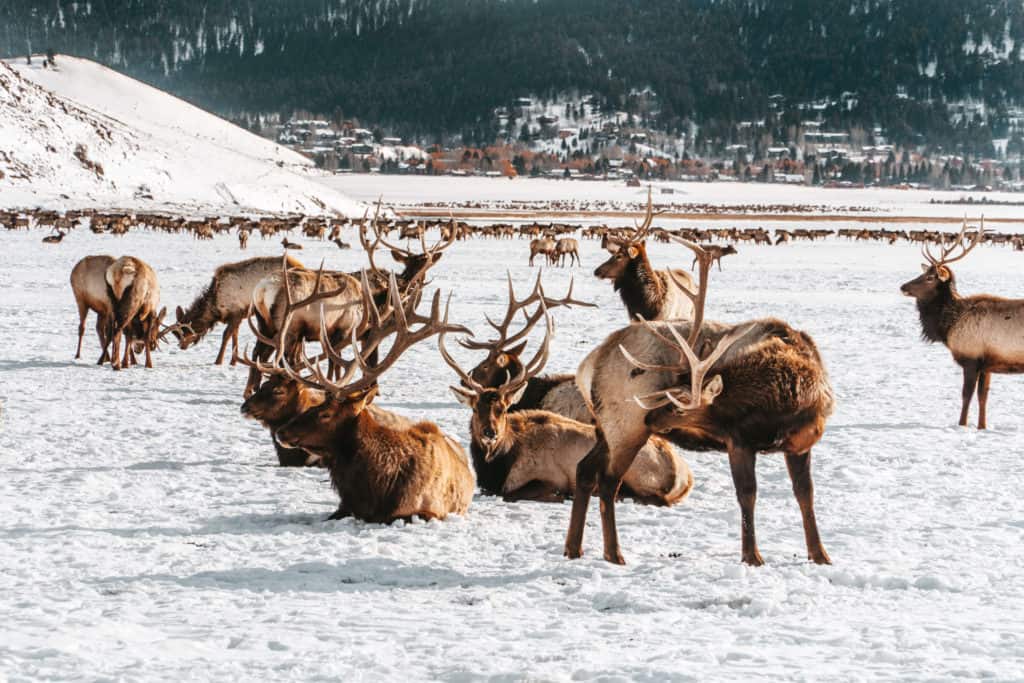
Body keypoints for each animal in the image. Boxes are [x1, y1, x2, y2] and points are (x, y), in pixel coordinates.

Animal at [167, 253, 301, 366]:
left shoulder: (236, 313)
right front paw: (233, 362)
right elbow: (234, 336)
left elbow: (226, 335)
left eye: (185, 330)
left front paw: (218, 361)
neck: (214, 306)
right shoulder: (237, 317)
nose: (181, 346)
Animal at [274, 272, 477, 524]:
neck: (376, 487)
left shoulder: (429, 510)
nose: (281, 431)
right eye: (316, 403)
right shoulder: (344, 507)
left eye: (325, 414)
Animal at [565, 231, 835, 565]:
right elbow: (747, 494)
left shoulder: (801, 443)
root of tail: (588, 365)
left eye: (679, 404)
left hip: (606, 429)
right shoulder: (738, 439)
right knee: (608, 481)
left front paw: (820, 554)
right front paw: (752, 556)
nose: (651, 416)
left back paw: (573, 548)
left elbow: (805, 493)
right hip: (625, 427)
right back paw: (614, 553)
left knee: (585, 470)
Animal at [901, 219, 1019, 430]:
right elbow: (983, 397)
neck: (948, 326)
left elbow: (966, 396)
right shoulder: (987, 362)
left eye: (929, 277)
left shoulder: (971, 358)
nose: (903, 287)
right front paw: (982, 426)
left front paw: (962, 424)